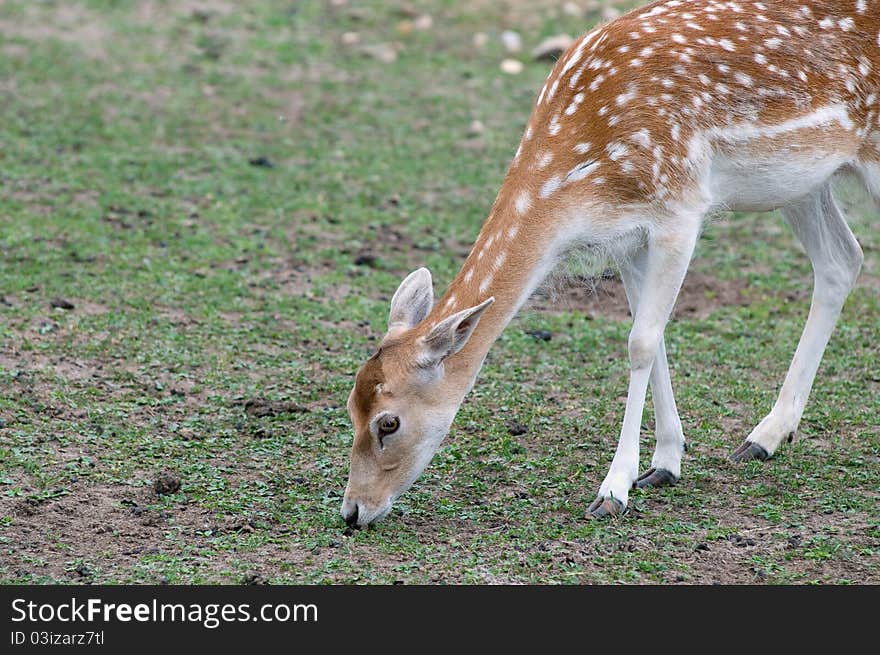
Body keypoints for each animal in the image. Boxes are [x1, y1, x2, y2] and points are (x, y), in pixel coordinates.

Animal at [340, 1, 868, 528]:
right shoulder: (628, 237)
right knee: (842, 259)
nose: (352, 510)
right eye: (349, 406)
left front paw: (614, 489)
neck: (584, 177)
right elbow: (653, 338)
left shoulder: (681, 209)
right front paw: (665, 464)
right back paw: (765, 437)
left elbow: (641, 342)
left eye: (389, 422)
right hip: (802, 184)